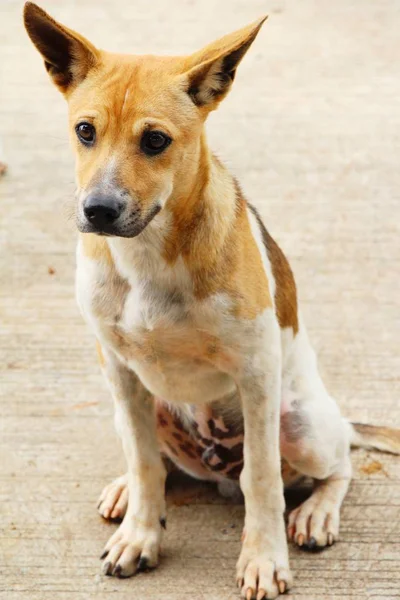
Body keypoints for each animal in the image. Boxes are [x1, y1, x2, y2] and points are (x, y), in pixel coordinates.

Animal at [24, 5, 400, 600]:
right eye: (85, 131)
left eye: (155, 141)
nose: (98, 210)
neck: (148, 256)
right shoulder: (118, 367)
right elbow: (145, 462)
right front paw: (141, 533)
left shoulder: (257, 370)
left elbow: (263, 478)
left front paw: (264, 559)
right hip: (132, 403)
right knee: (154, 458)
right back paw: (127, 490)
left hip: (304, 426)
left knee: (336, 464)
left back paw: (317, 512)